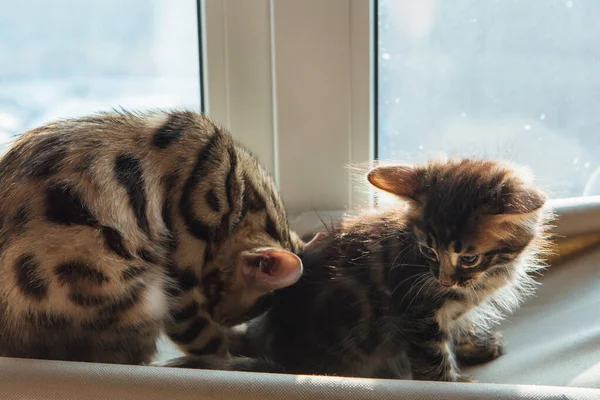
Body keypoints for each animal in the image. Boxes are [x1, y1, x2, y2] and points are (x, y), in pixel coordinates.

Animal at [0, 109, 310, 366]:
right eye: (223, 309)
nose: (220, 319)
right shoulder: (182, 284)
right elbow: (206, 342)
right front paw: (228, 355)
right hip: (137, 293)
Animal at [158, 159, 552, 382]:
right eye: (428, 250)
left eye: (468, 259)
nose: (443, 278)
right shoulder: (416, 312)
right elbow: (433, 357)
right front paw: (450, 383)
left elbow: (459, 326)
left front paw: (478, 344)